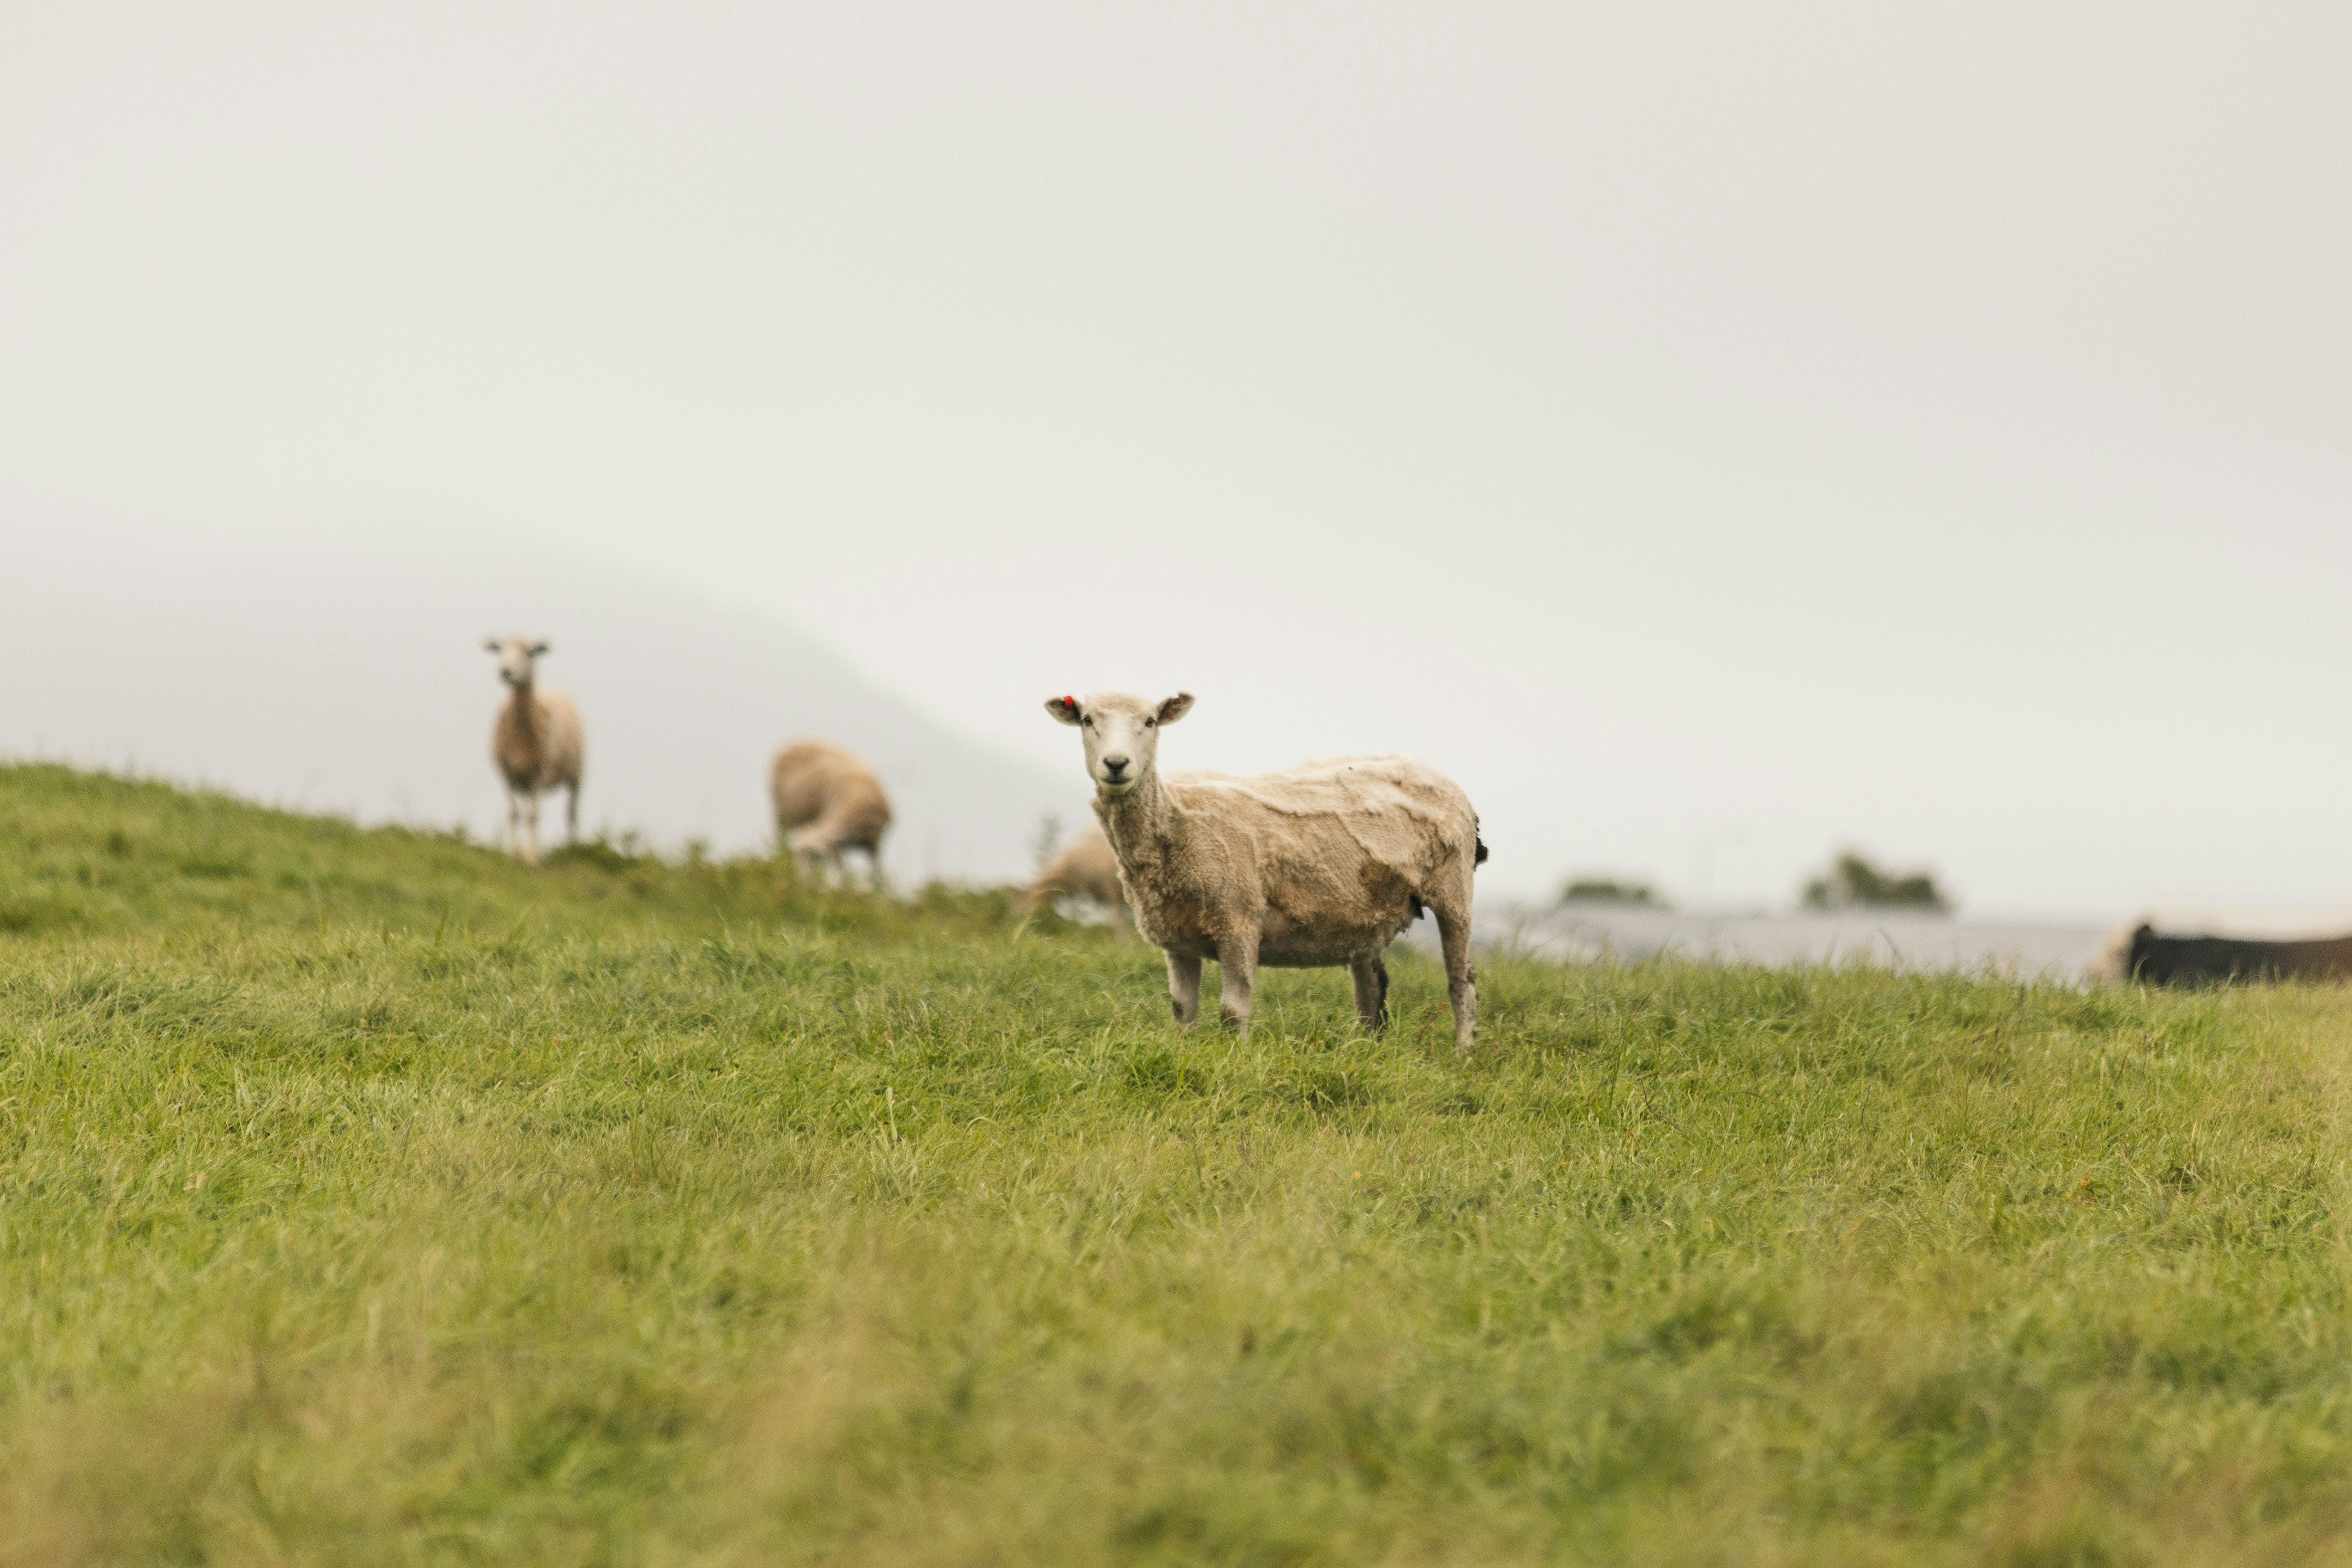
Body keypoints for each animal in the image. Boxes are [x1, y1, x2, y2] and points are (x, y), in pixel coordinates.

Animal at [485, 635, 584, 866]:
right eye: (500, 649)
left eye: (529, 652)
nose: (506, 672)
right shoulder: (508, 773)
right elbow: (514, 813)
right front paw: (513, 855)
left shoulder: (540, 774)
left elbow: (533, 816)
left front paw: (532, 858)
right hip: (525, 781)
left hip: (576, 775)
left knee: (571, 814)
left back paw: (572, 850)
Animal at [770, 740, 892, 888]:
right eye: (797, 856)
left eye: (815, 856)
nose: (802, 884)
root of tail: (798, 741)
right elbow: (840, 869)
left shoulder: (874, 840)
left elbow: (874, 870)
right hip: (782, 812)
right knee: (779, 836)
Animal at [1046, 691, 1487, 1052]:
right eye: (1087, 720)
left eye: (1151, 721)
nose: (1116, 765)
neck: (1174, 820)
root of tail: (1432, 772)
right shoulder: (1178, 939)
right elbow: (1182, 1011)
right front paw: (1184, 1054)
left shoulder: (1238, 918)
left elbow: (1232, 1010)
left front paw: (1234, 1061)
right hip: (1367, 912)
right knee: (1371, 989)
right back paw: (1365, 1052)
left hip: (1454, 889)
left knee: (1461, 980)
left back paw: (1462, 1054)